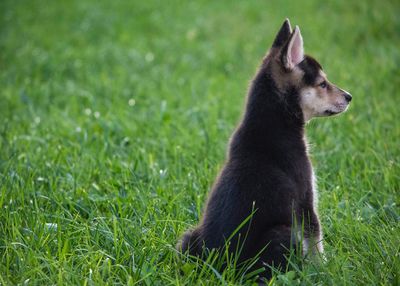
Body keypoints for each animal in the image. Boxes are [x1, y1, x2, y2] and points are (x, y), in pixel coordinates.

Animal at [177, 18, 352, 280]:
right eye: (322, 84)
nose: (349, 97)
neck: (275, 122)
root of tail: (220, 268)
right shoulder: (305, 197)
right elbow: (316, 238)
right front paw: (324, 270)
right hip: (283, 235)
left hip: (188, 238)